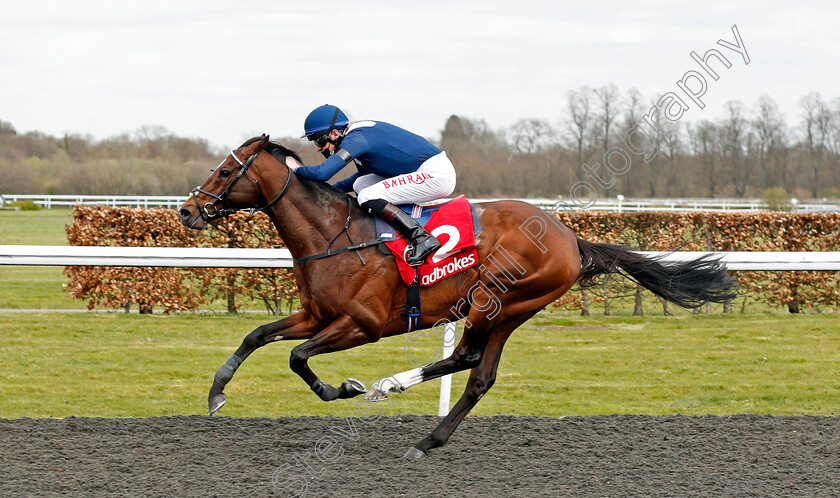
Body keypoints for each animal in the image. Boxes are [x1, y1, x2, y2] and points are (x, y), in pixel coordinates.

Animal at [176, 134, 736, 458]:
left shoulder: (362, 324)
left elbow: (296, 357)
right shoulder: (317, 315)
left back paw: (390, 386)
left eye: (224, 172)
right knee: (479, 376)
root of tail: (571, 237)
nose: (186, 211)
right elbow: (257, 336)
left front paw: (348, 388)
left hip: (495, 298)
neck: (333, 235)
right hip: (512, 311)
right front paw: (216, 393)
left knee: (466, 357)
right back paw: (429, 439)